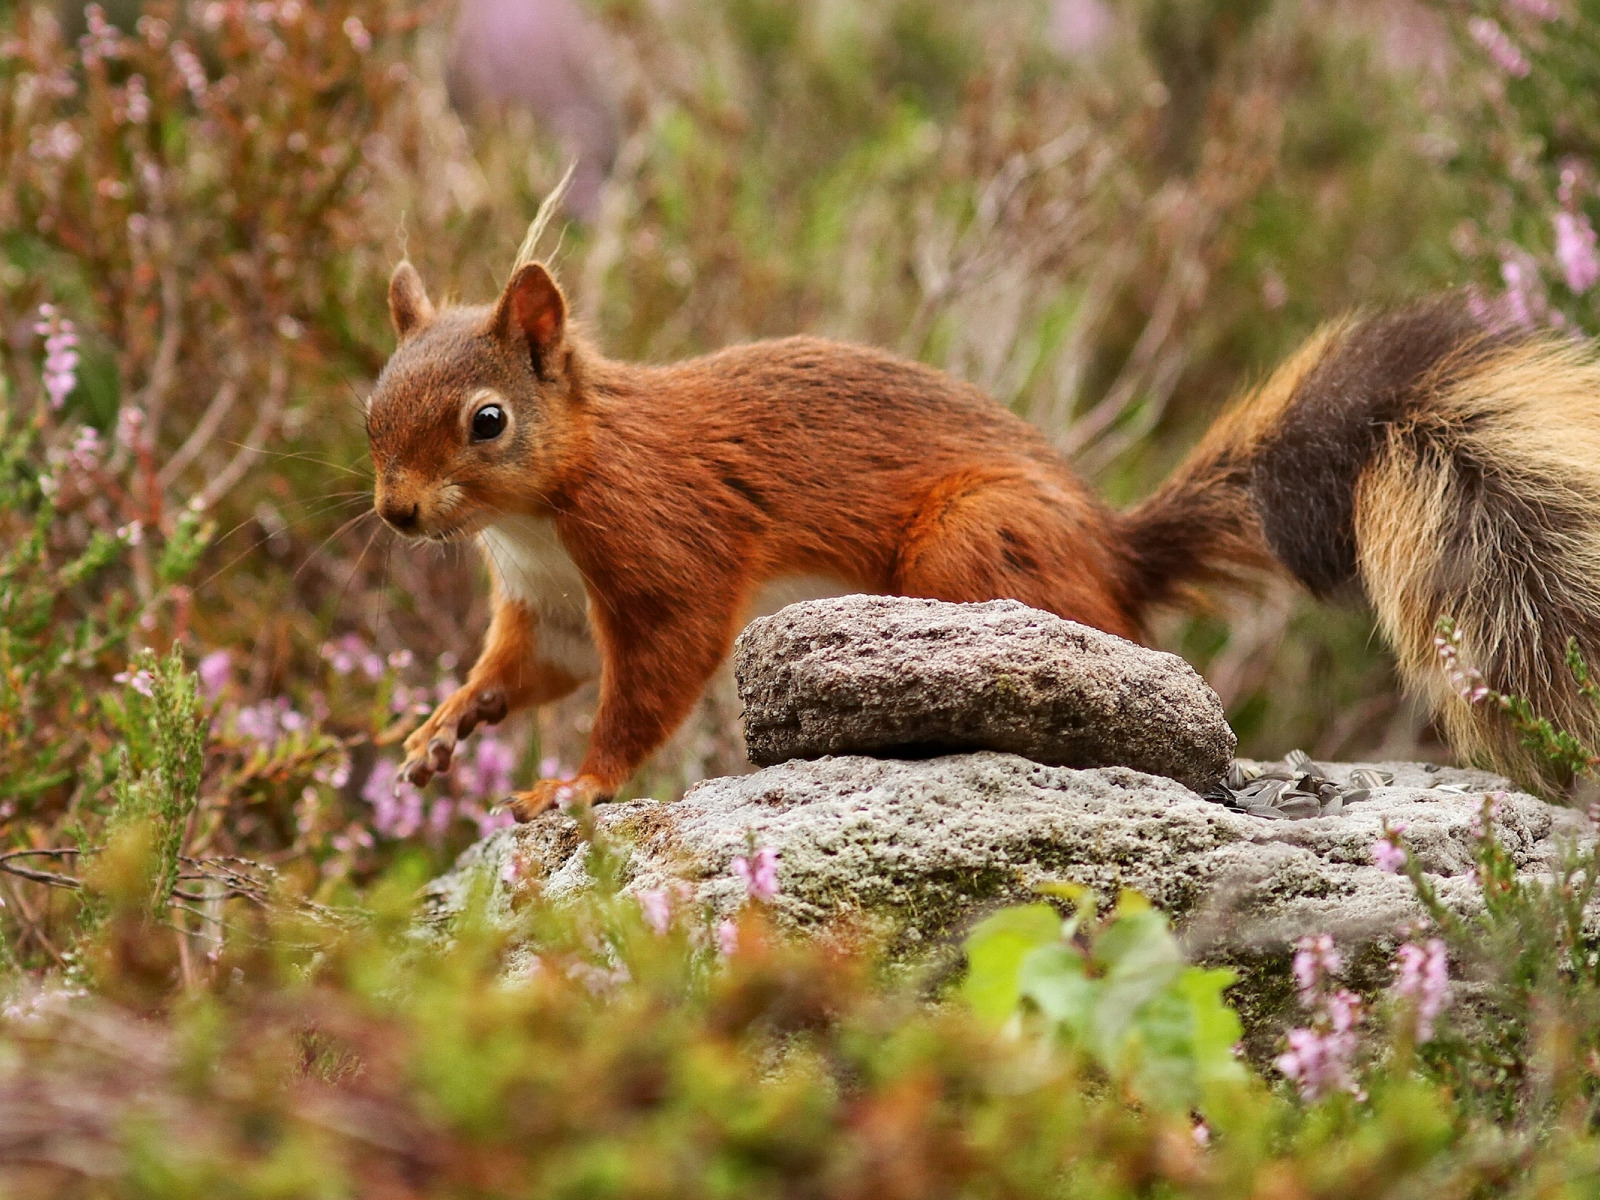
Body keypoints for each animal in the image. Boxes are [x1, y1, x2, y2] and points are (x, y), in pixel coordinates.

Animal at [368, 246, 1600, 819]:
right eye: (371, 405)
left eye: (487, 421)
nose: (396, 513)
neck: (538, 516)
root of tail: (1114, 554)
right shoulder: (551, 607)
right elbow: (524, 670)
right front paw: (436, 733)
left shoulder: (666, 547)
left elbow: (652, 679)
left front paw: (574, 786)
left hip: (972, 541)